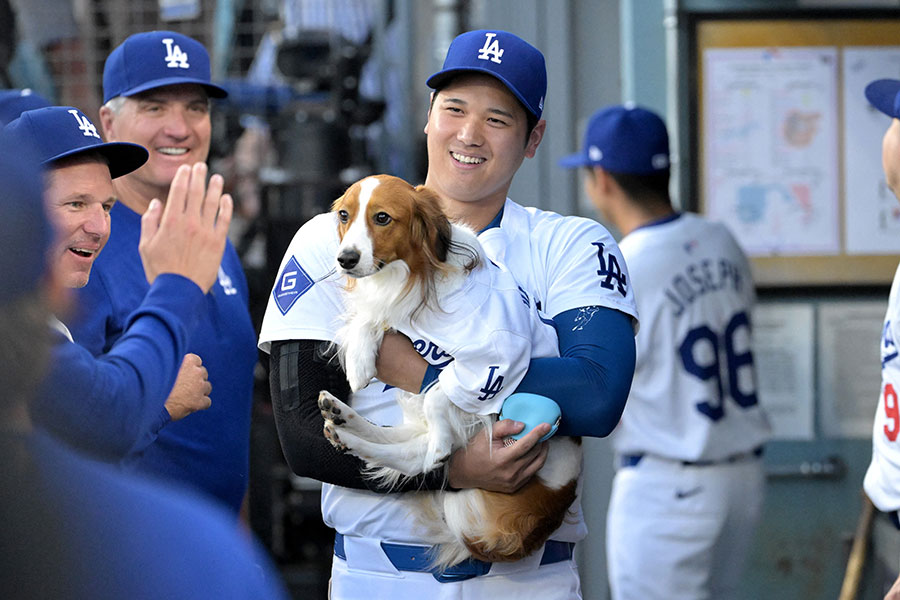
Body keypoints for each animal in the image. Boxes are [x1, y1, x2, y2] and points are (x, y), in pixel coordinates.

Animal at [320, 176, 580, 568]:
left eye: (382, 218)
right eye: (344, 216)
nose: (345, 259)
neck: (416, 275)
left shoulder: (496, 362)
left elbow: (440, 393)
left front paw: (440, 443)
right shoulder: (395, 309)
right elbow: (370, 317)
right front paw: (361, 360)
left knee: (415, 455)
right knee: (401, 448)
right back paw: (342, 421)